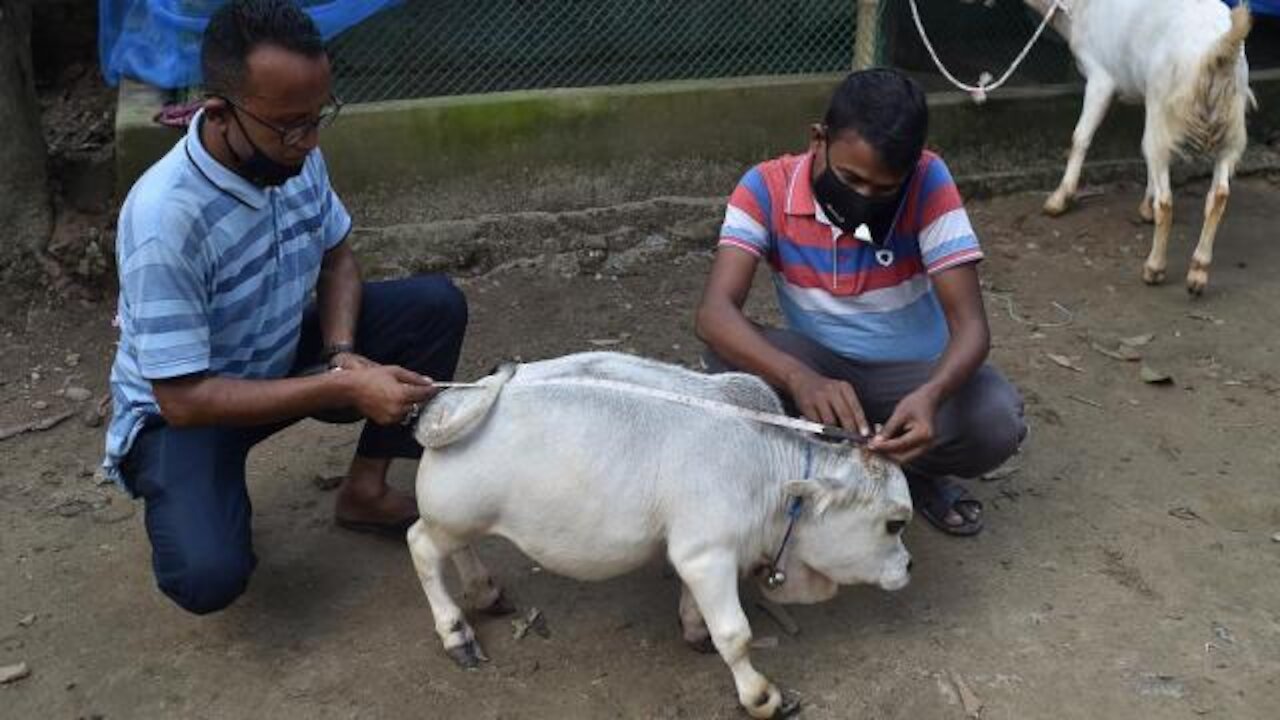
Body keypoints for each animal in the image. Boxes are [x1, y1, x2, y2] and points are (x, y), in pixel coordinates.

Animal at [407, 351, 911, 712]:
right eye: (894, 523)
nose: (908, 566)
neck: (768, 472)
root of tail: (450, 401)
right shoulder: (706, 553)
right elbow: (736, 635)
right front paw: (761, 696)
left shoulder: (698, 554)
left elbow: (696, 607)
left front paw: (694, 629)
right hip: (454, 516)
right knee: (421, 546)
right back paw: (456, 631)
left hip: (461, 519)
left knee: (456, 549)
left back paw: (485, 591)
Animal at [1029, 0, 1249, 293]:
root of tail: (1219, 50)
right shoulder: (1149, 98)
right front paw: (1146, 205)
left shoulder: (1101, 77)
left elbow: (1081, 137)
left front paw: (1059, 199)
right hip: (1229, 124)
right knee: (1219, 195)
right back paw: (1198, 271)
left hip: (1175, 104)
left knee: (1167, 201)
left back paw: (1154, 268)